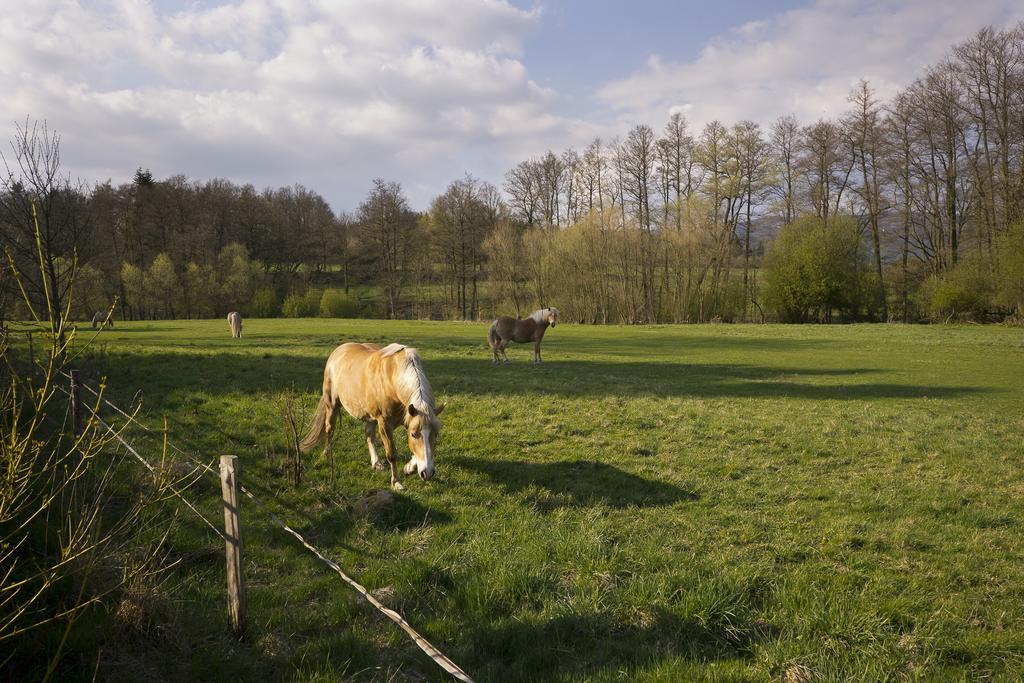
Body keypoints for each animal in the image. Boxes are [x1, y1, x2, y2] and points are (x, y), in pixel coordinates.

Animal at [296, 344, 440, 489]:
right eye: (414, 435)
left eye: (436, 434)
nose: (427, 473)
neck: (392, 380)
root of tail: (338, 350)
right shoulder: (384, 424)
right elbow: (392, 454)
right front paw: (396, 482)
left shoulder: (408, 419)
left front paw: (409, 468)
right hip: (332, 404)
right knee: (330, 429)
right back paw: (327, 456)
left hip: (371, 416)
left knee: (369, 434)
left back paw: (376, 463)